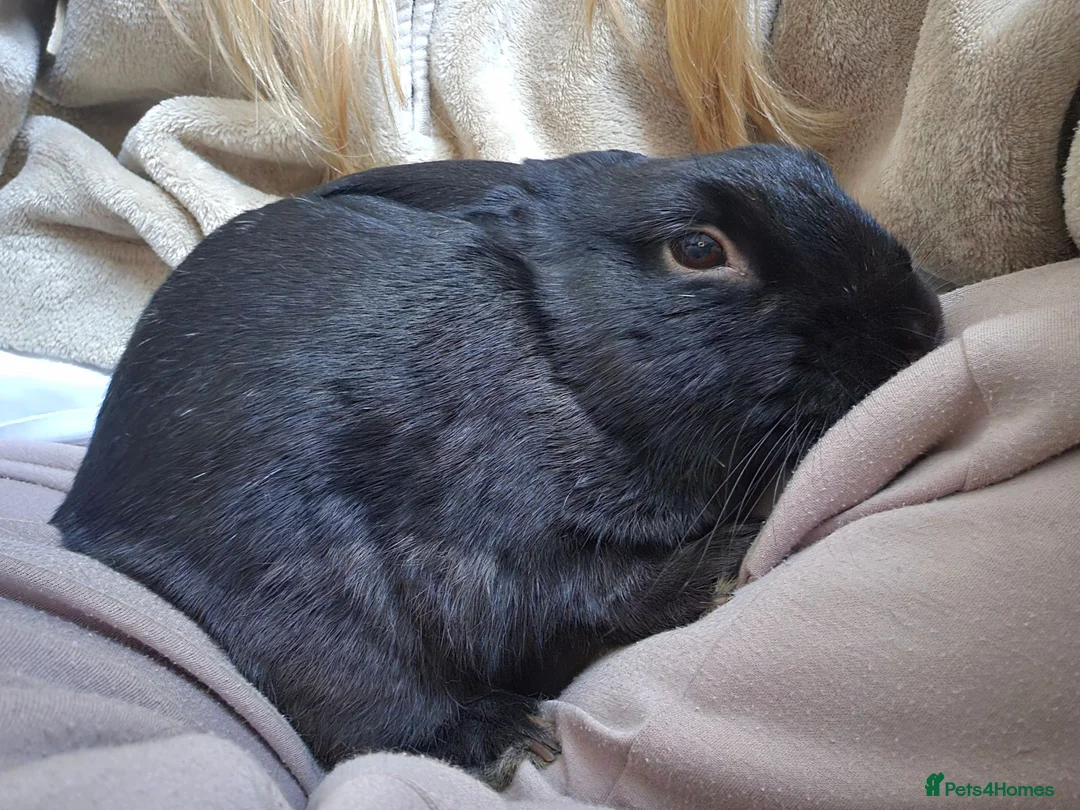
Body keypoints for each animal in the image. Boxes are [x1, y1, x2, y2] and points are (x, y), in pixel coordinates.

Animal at [53, 145, 943, 787]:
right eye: (697, 249)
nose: (919, 325)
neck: (555, 351)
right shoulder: (475, 548)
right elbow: (593, 597)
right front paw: (727, 560)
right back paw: (504, 736)